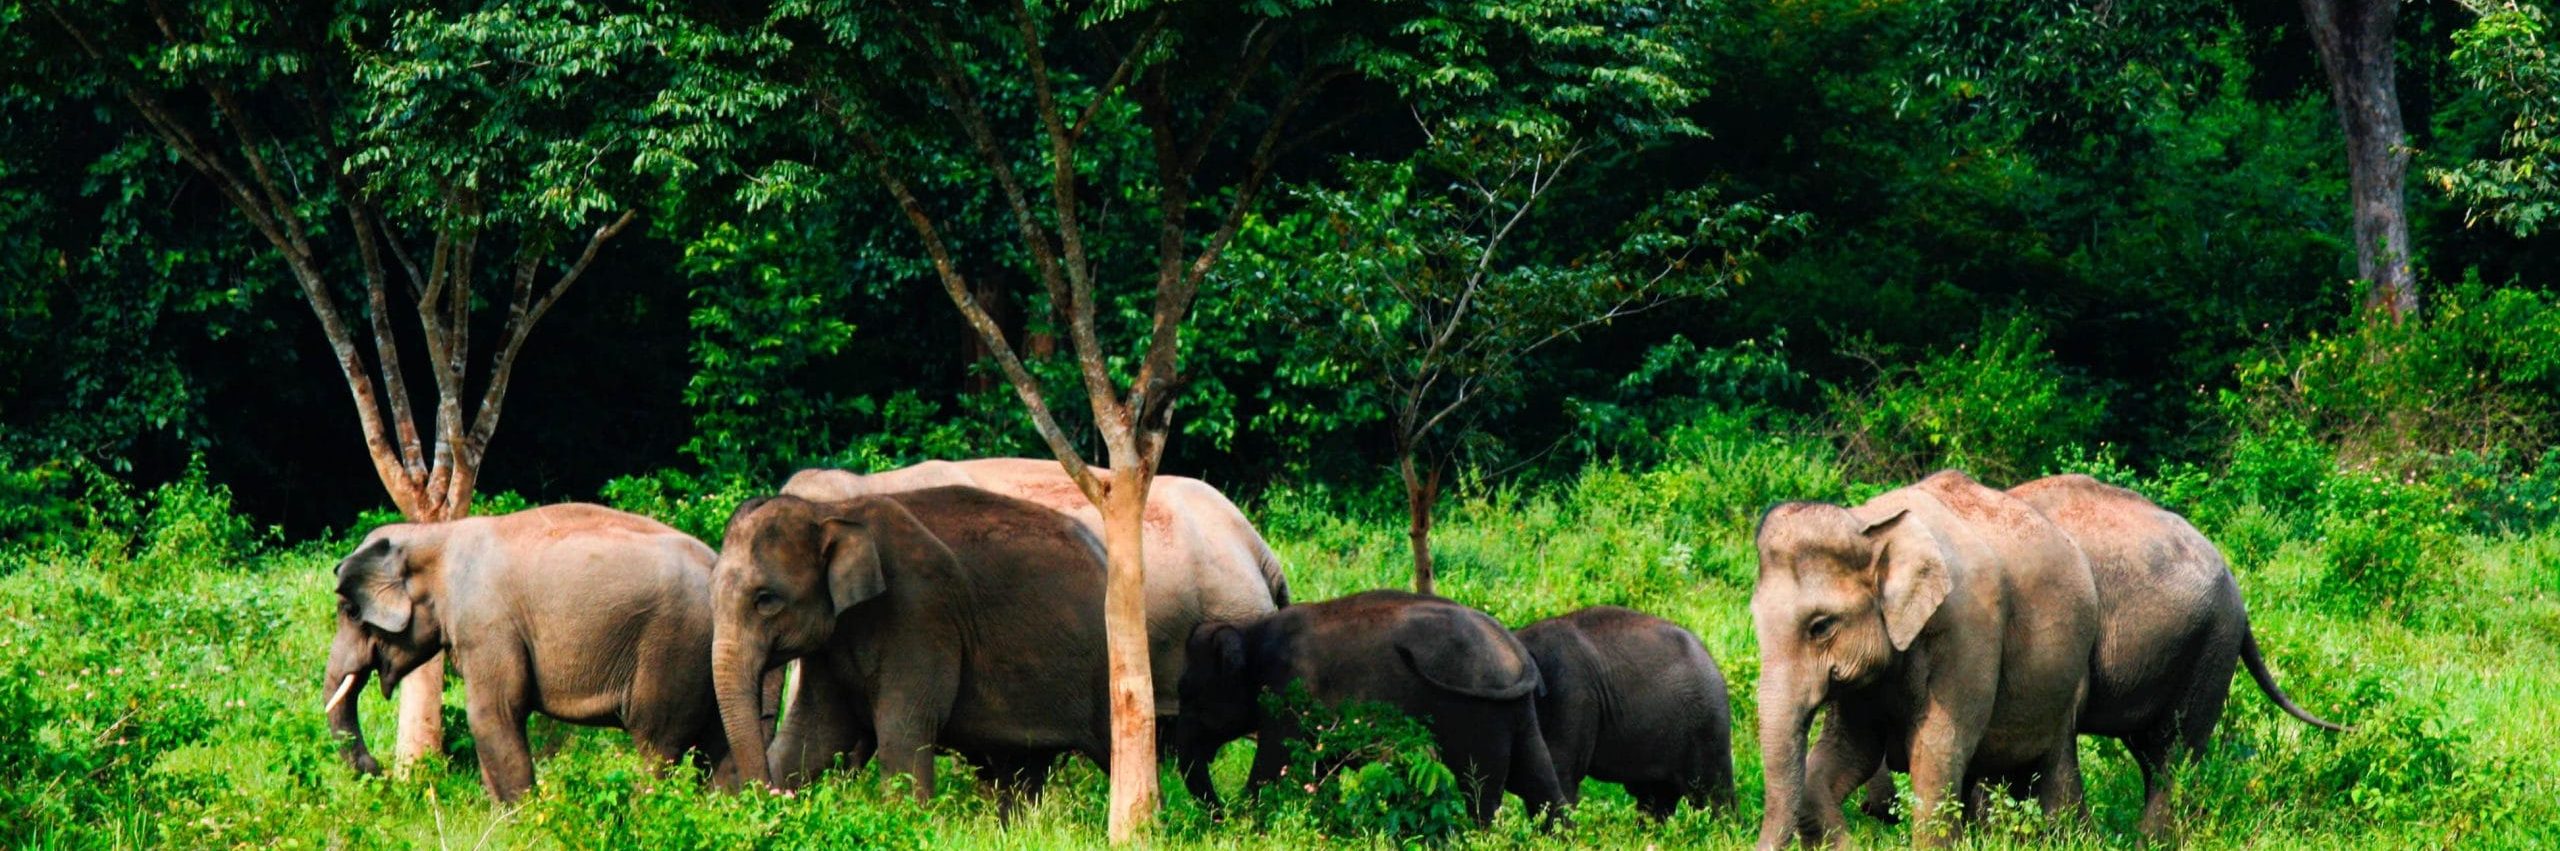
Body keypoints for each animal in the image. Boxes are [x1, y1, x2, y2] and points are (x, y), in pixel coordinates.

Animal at [322, 503, 725, 803]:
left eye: (351, 611)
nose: (378, 767)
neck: (436, 536)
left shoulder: (487, 624)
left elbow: (492, 714)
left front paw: (521, 822)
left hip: (674, 648)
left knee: (659, 746)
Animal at [709, 485, 1111, 809]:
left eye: (766, 600)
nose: (766, 795)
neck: (832, 509)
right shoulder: (833, 642)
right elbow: (817, 732)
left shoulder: (918, 611)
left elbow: (902, 736)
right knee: (1022, 773)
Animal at [1173, 590, 1569, 827]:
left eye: (1185, 691)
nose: (1220, 815)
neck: (1250, 632)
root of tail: (1515, 651)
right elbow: (1321, 772)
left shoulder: (1288, 693)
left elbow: (1272, 770)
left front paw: (1251, 819)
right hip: (1517, 714)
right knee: (1539, 784)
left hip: (1478, 715)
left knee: (1481, 791)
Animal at [1752, 470, 2101, 850]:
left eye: (1821, 626)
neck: (1869, 524)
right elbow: (1850, 749)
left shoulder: (1969, 627)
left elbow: (1936, 748)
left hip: (2067, 679)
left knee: (2055, 765)